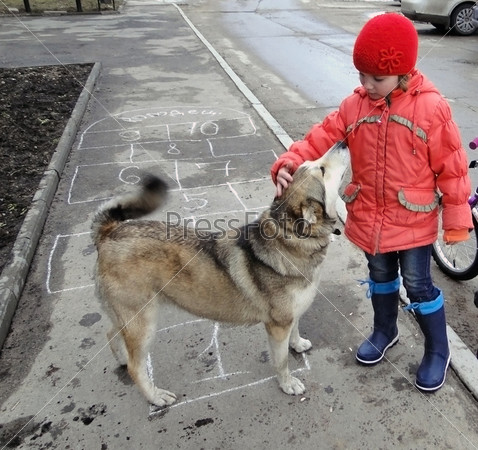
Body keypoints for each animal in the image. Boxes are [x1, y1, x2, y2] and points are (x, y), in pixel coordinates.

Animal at [91, 142, 350, 408]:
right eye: (321, 169)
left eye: (315, 164)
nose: (342, 142)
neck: (291, 238)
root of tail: (110, 232)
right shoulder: (277, 326)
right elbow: (281, 361)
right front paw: (287, 383)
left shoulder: (291, 315)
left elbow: (296, 330)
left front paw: (297, 344)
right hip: (143, 321)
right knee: (136, 367)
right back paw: (155, 395)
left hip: (128, 316)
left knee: (112, 335)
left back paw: (123, 358)